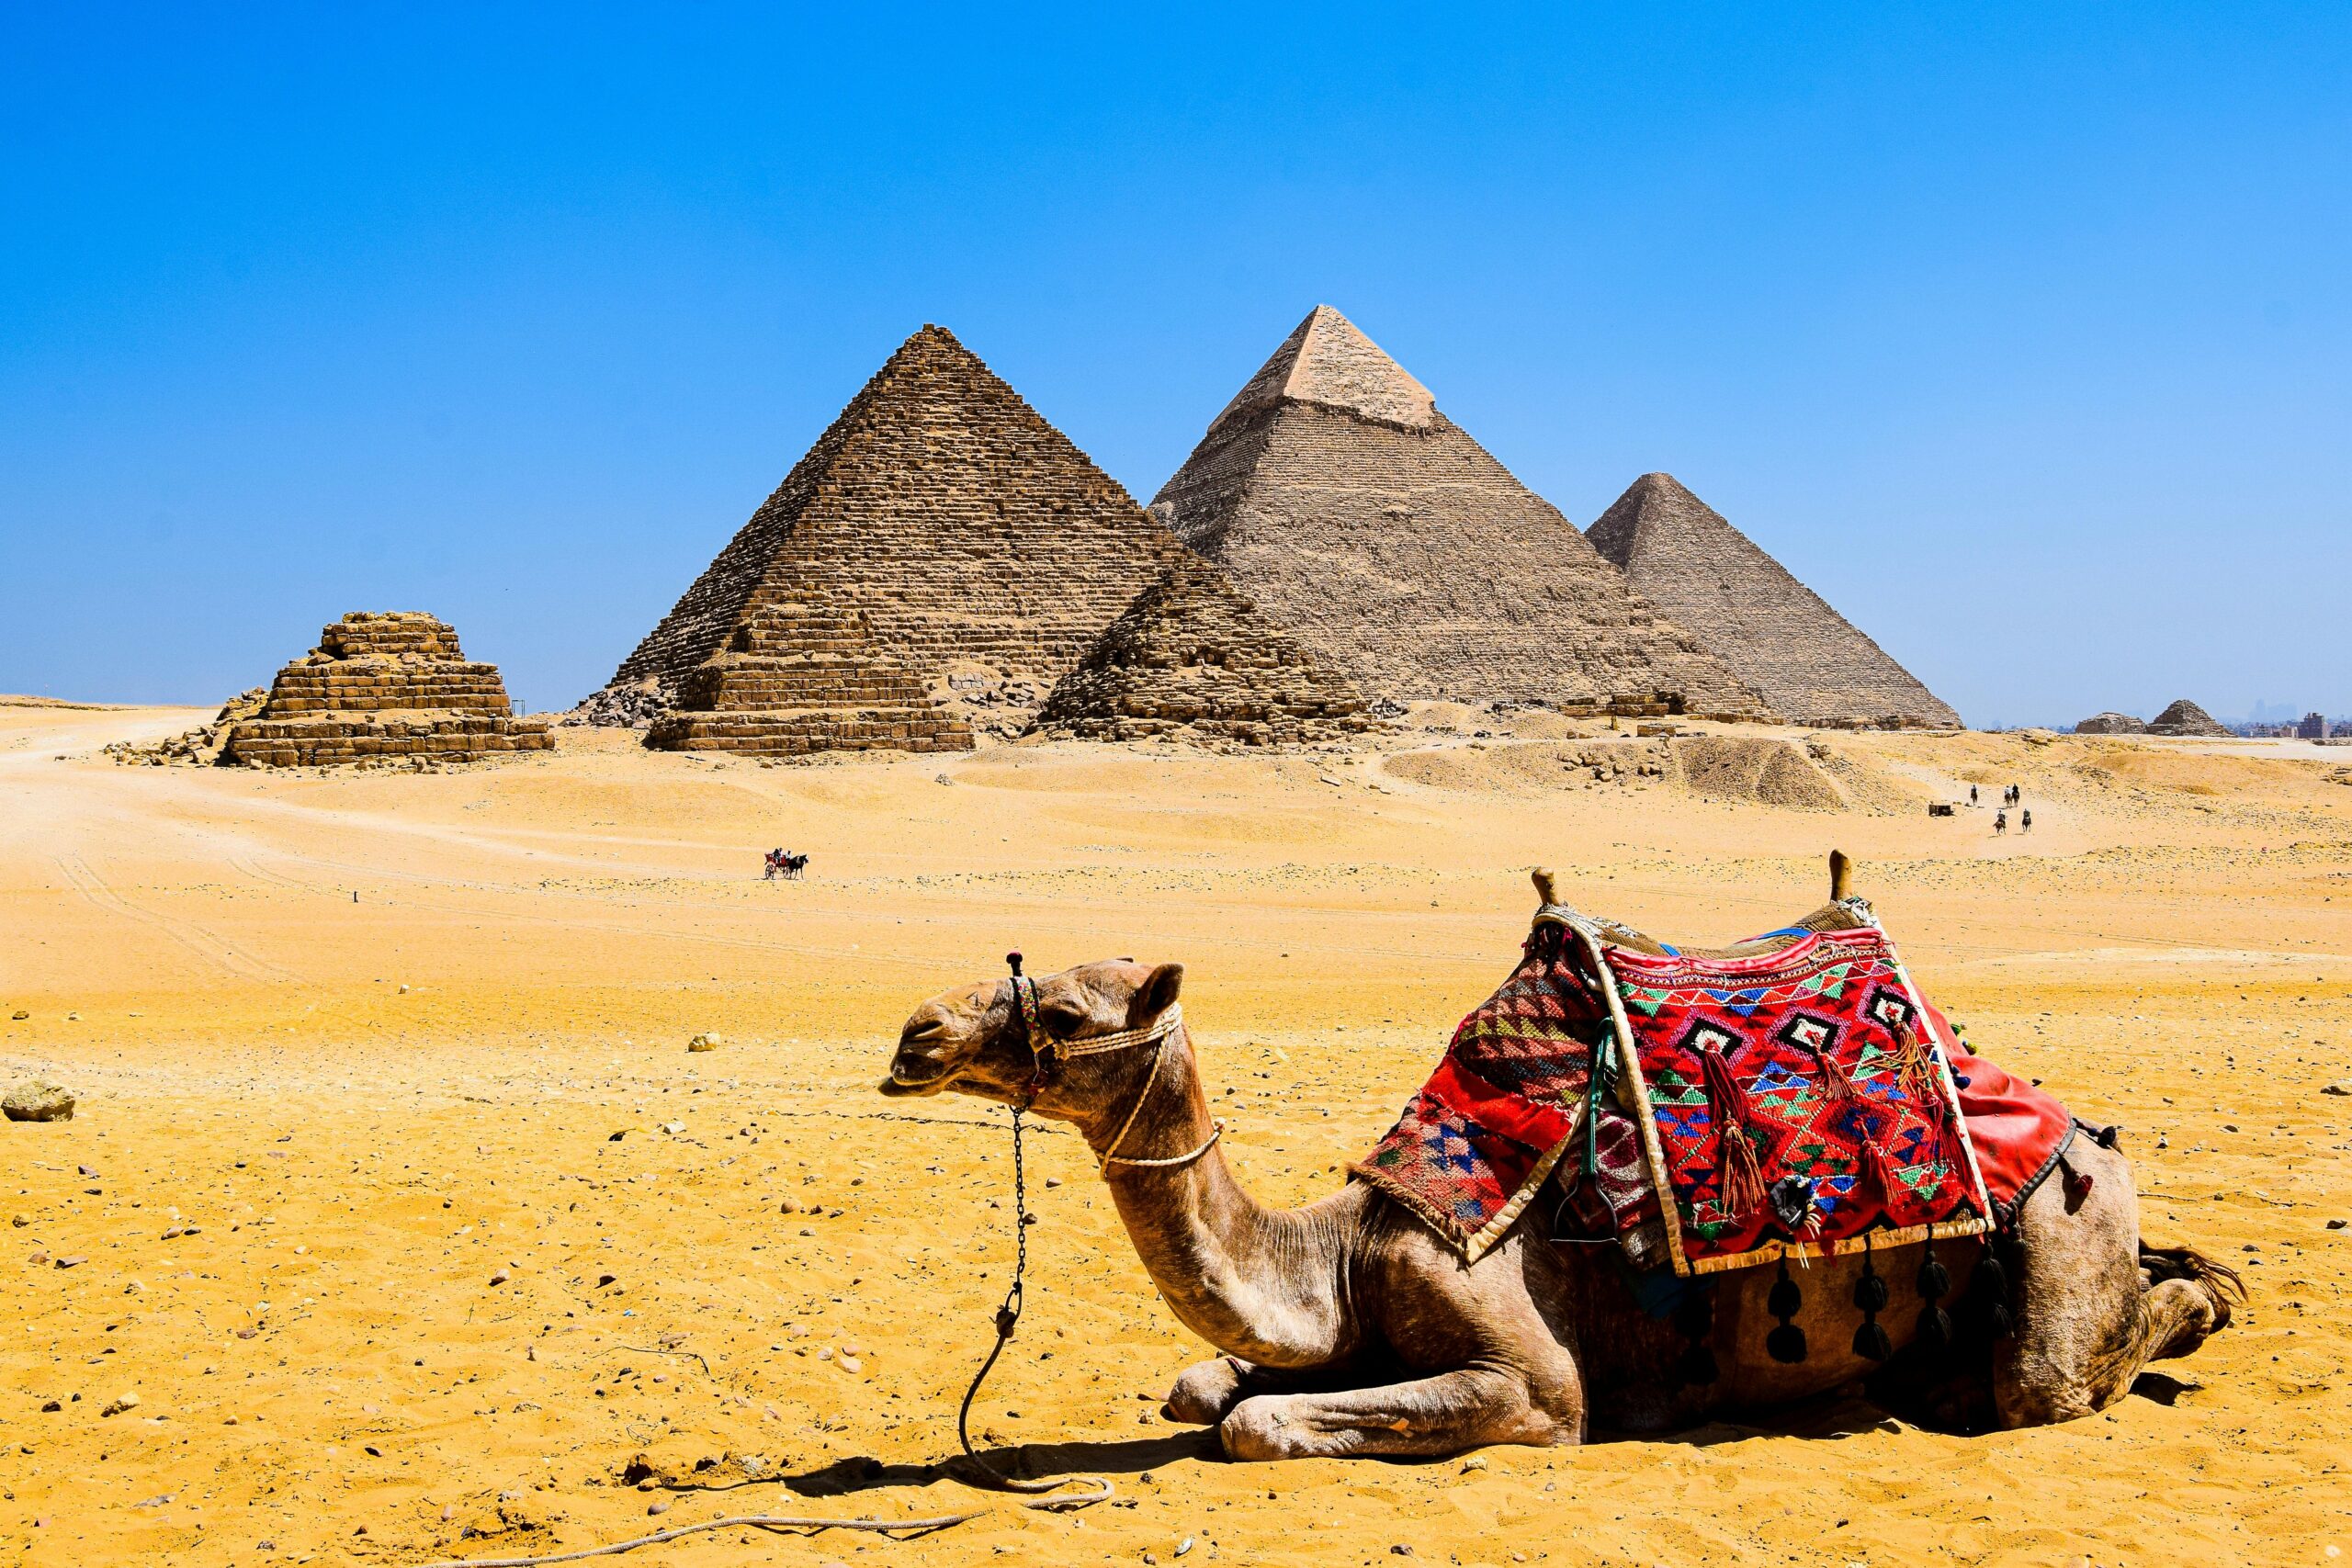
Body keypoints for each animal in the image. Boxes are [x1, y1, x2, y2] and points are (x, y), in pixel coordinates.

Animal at [879, 869, 2220, 1457]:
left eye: (1061, 1009)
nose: (915, 1036)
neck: (1339, 1257)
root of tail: (2080, 1131)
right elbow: (1201, 1389)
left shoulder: (1534, 1383)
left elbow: (1255, 1422)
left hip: (2062, 1226)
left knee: (2059, 1371)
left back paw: (2188, 1309)